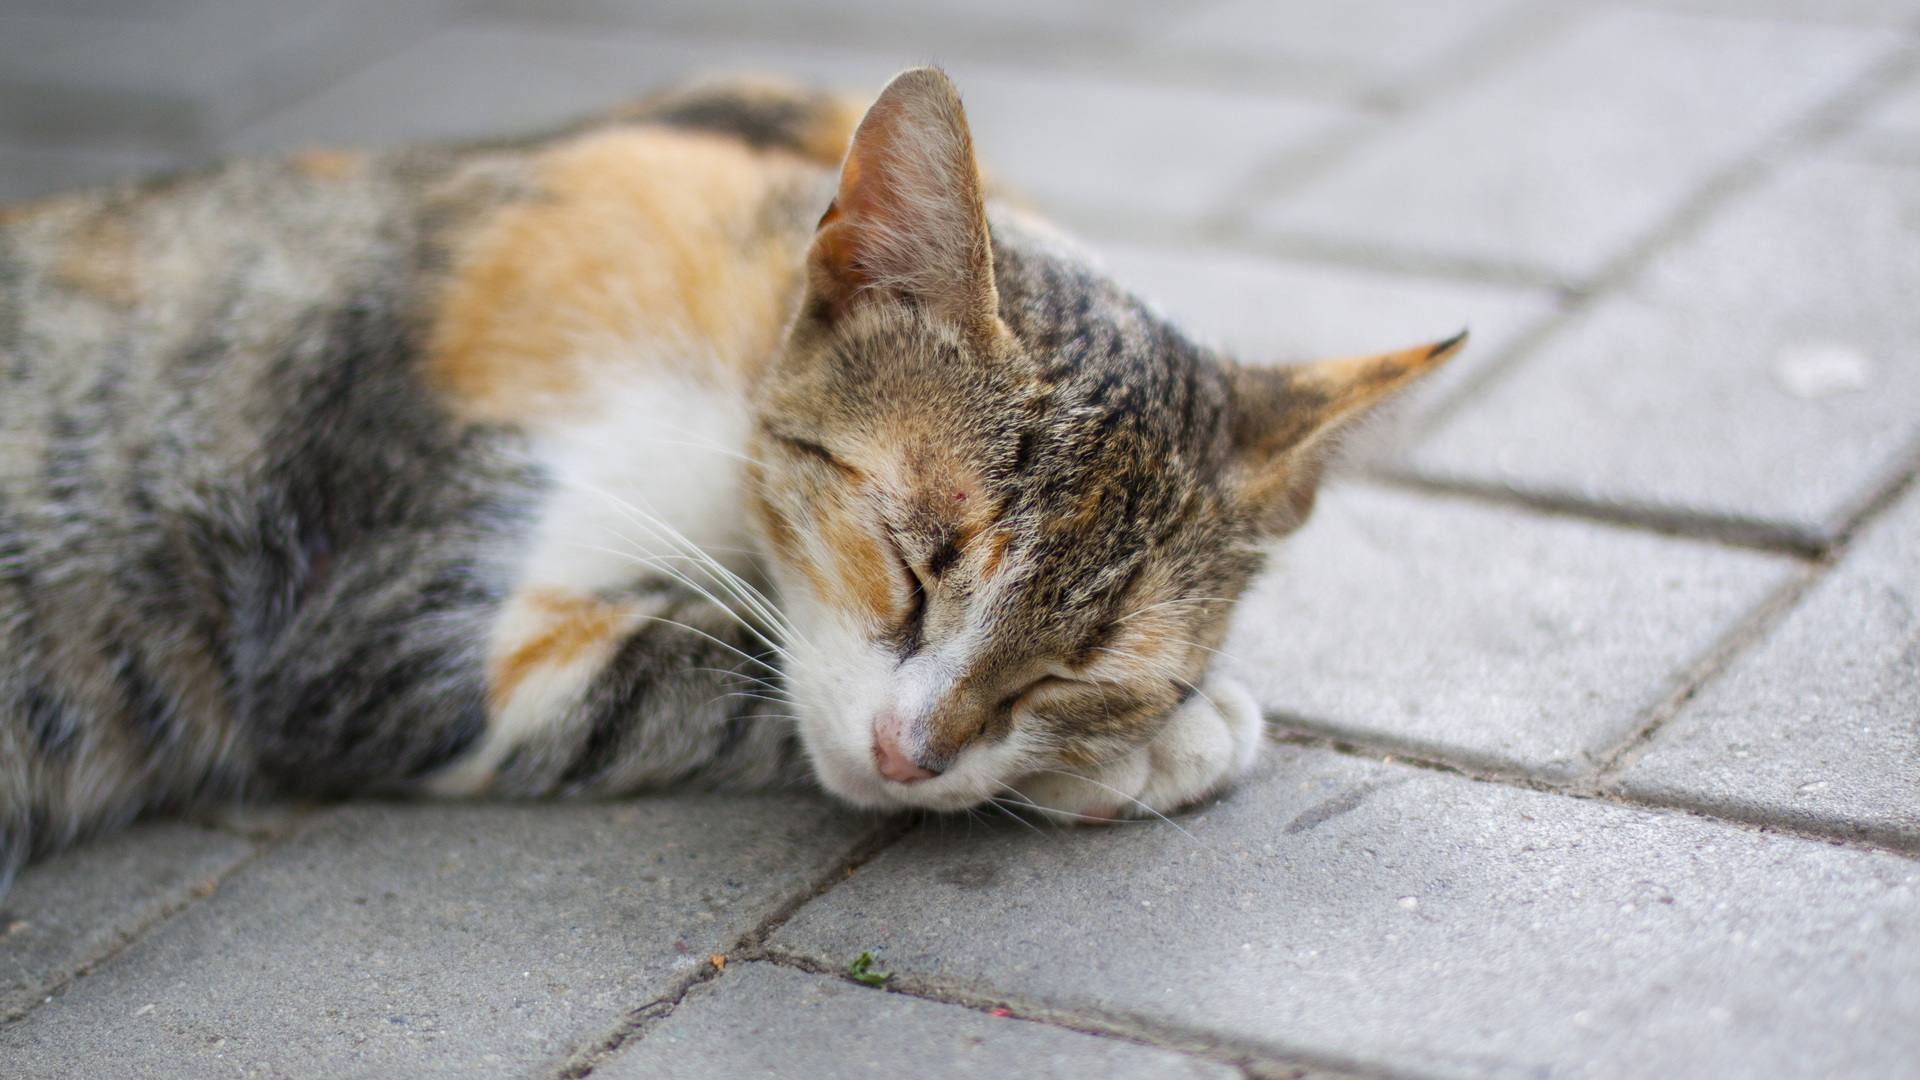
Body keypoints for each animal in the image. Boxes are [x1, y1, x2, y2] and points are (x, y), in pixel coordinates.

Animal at [0, 62, 1451, 880]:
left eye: (1076, 673)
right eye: (910, 562)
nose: (914, 758)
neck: (735, 340)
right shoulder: (377, 627)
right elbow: (710, 661)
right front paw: (1156, 750)